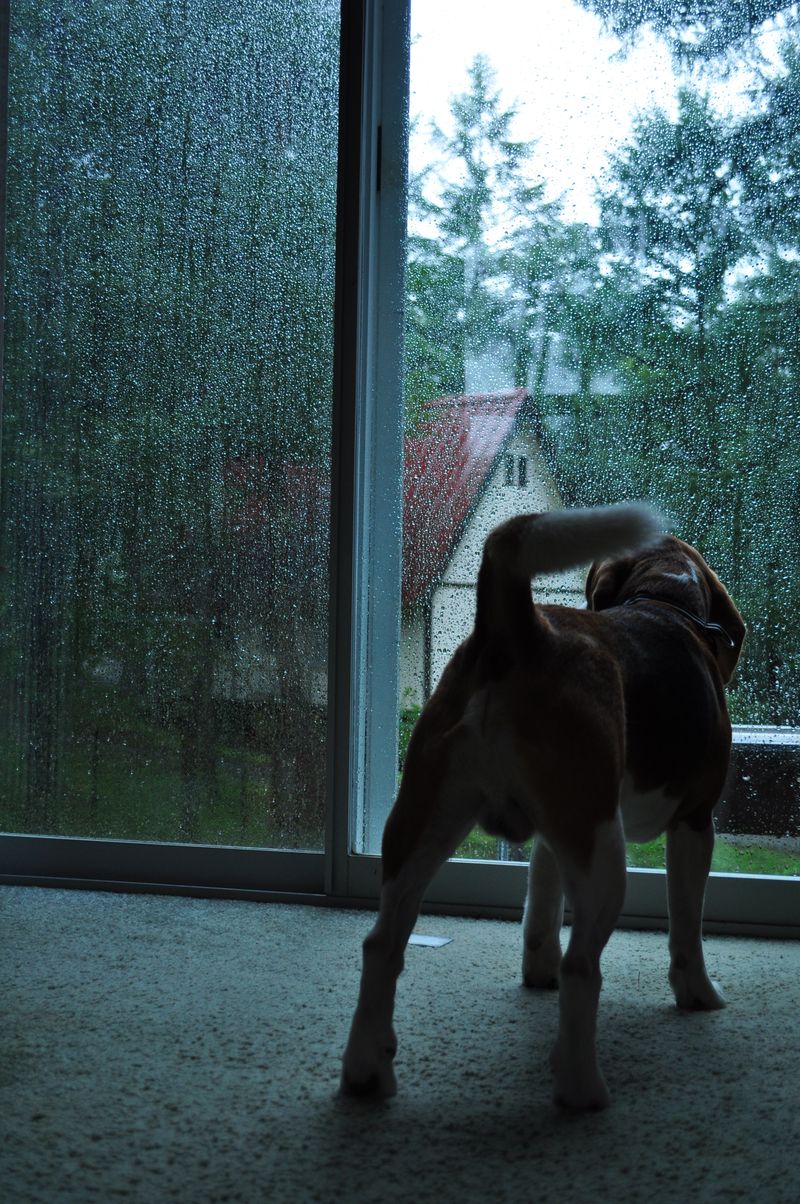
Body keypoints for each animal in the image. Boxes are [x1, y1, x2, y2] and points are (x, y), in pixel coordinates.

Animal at [339, 500, 746, 1107]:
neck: (662, 601)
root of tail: (519, 630)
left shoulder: (554, 834)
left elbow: (541, 906)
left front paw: (537, 971)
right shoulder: (694, 822)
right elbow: (686, 925)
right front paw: (698, 993)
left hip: (422, 823)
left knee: (381, 944)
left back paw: (366, 1070)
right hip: (603, 853)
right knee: (583, 967)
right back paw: (581, 1086)